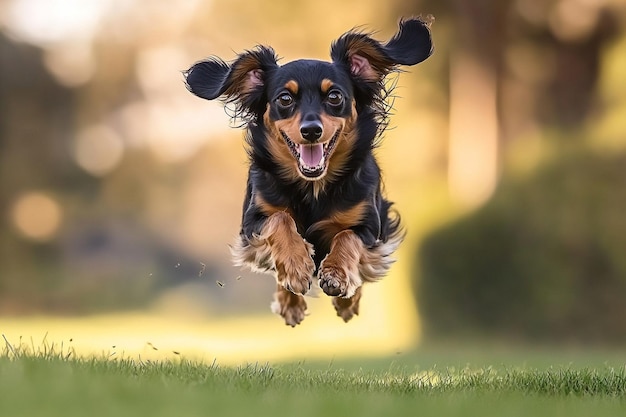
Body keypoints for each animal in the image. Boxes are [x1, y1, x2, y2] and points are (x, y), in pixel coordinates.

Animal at [183, 17, 432, 324]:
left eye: (334, 96)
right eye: (285, 99)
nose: (311, 130)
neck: (313, 187)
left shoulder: (371, 228)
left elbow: (347, 236)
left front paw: (337, 275)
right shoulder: (251, 224)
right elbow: (280, 219)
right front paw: (296, 265)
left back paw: (347, 301)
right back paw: (290, 300)